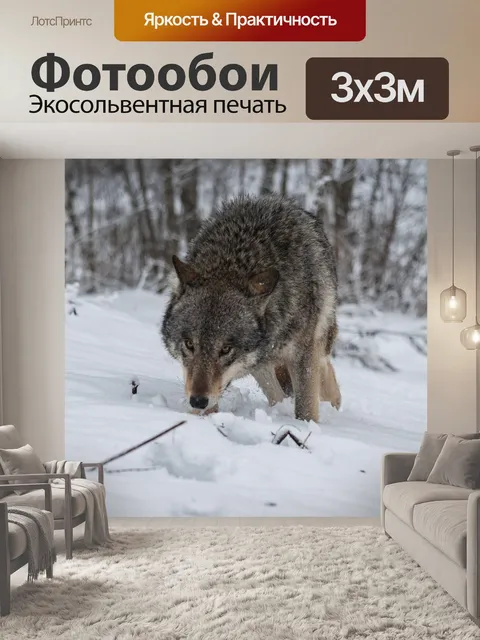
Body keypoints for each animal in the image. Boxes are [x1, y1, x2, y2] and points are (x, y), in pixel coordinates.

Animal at [161, 194, 341, 422]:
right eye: (189, 344)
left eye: (226, 349)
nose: (198, 400)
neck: (233, 261)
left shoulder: (304, 354)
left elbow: (306, 408)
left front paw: (305, 427)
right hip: (261, 368)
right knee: (278, 395)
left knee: (327, 378)